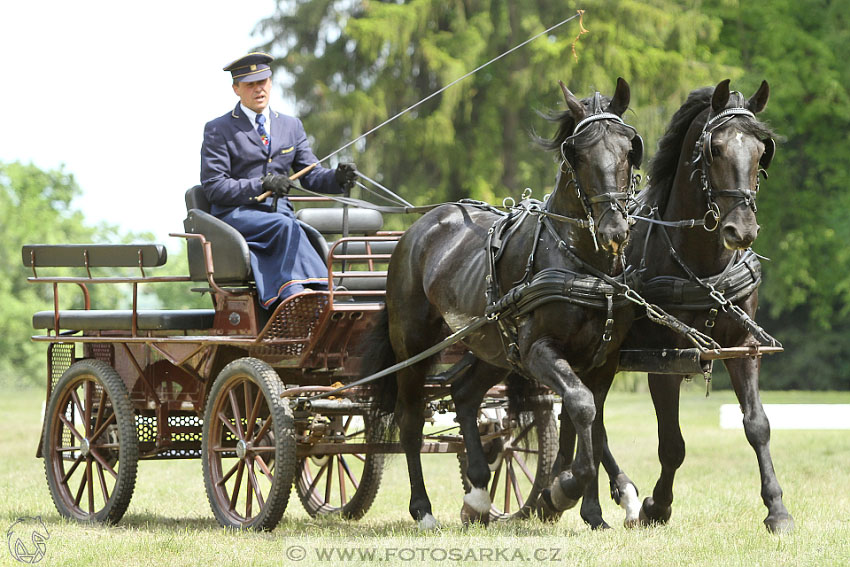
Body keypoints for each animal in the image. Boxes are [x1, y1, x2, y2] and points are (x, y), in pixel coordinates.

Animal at [364, 77, 644, 532]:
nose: (614, 230)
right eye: (578, 153)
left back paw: (478, 495)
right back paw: (423, 509)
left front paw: (594, 510)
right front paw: (562, 491)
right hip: (413, 346)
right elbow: (582, 407)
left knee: (464, 394)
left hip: (493, 347)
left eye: (628, 148)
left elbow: (595, 422)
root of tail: (421, 225)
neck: (581, 263)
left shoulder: (604, 361)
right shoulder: (538, 351)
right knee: (410, 419)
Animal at [568, 81, 792, 536]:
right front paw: (658, 506)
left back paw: (618, 493)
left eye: (762, 150)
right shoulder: (664, 360)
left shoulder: (743, 348)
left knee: (591, 421)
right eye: (715, 149)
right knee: (587, 419)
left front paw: (776, 509)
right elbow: (672, 444)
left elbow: (757, 426)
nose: (742, 230)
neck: (701, 263)